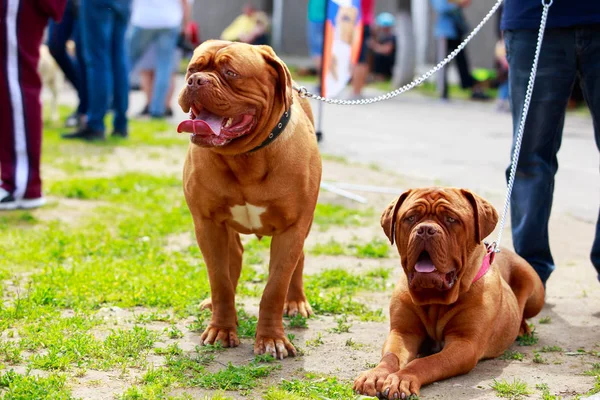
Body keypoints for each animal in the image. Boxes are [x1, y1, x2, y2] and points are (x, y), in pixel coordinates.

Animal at [176, 39, 322, 360]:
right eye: (192, 68)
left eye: (231, 73)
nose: (196, 81)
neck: (245, 157)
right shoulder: (207, 224)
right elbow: (220, 280)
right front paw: (221, 329)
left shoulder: (292, 230)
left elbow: (274, 287)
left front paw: (271, 339)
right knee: (232, 263)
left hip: (303, 229)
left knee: (298, 262)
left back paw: (296, 302)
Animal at [354, 188, 548, 400]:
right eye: (410, 217)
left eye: (451, 219)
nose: (425, 230)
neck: (434, 299)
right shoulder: (403, 332)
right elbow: (391, 357)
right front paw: (375, 375)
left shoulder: (464, 344)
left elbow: (426, 362)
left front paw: (402, 378)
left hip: (534, 292)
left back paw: (523, 328)